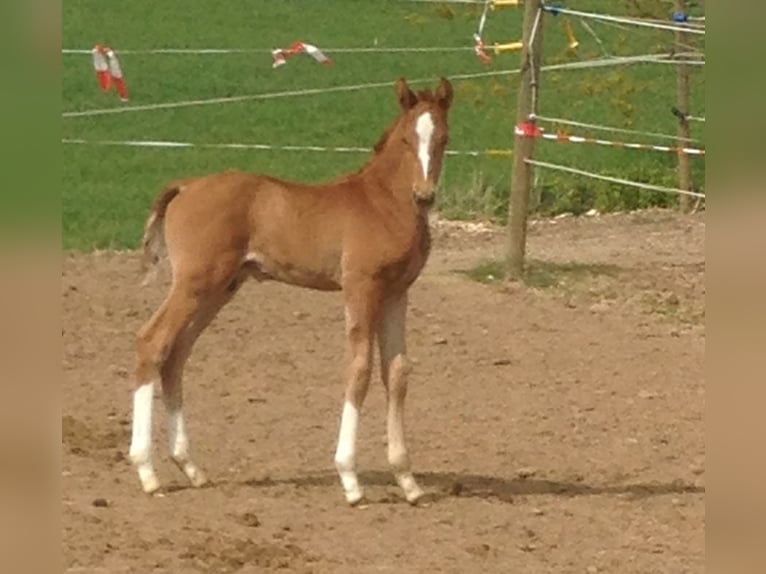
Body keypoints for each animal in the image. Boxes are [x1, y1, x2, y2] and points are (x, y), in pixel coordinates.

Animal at [130, 77, 456, 508]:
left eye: (444, 138)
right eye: (406, 139)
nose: (424, 195)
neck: (383, 203)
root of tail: (187, 185)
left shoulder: (396, 293)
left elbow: (397, 372)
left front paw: (408, 481)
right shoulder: (361, 287)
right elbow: (359, 369)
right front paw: (350, 479)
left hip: (219, 288)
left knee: (175, 354)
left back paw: (191, 467)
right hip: (194, 283)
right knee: (151, 342)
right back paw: (148, 473)